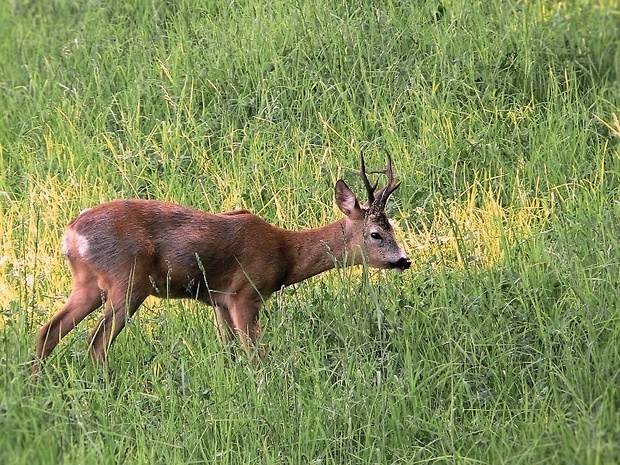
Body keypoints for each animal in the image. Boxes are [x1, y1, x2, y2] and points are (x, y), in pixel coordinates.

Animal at [34, 154, 412, 372]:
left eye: (392, 227)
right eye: (377, 233)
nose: (404, 260)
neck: (285, 254)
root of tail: (70, 234)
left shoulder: (218, 300)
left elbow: (230, 350)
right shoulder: (246, 293)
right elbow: (256, 354)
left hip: (88, 283)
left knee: (49, 329)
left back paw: (37, 381)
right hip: (128, 280)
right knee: (95, 342)